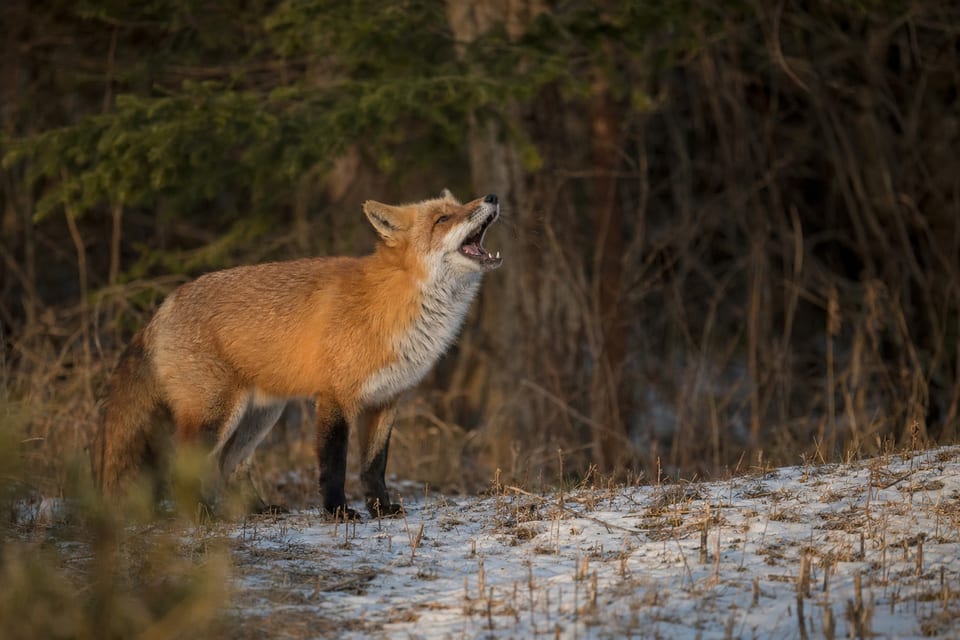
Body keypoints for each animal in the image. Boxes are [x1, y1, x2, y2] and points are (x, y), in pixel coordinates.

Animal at [93, 189, 501, 517]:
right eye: (443, 219)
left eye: (460, 205)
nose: (492, 197)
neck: (395, 303)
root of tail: (162, 307)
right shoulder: (335, 397)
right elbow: (334, 466)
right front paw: (338, 513)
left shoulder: (387, 399)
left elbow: (374, 466)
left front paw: (381, 509)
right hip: (216, 414)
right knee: (185, 467)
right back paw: (200, 515)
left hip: (260, 415)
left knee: (230, 463)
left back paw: (257, 510)